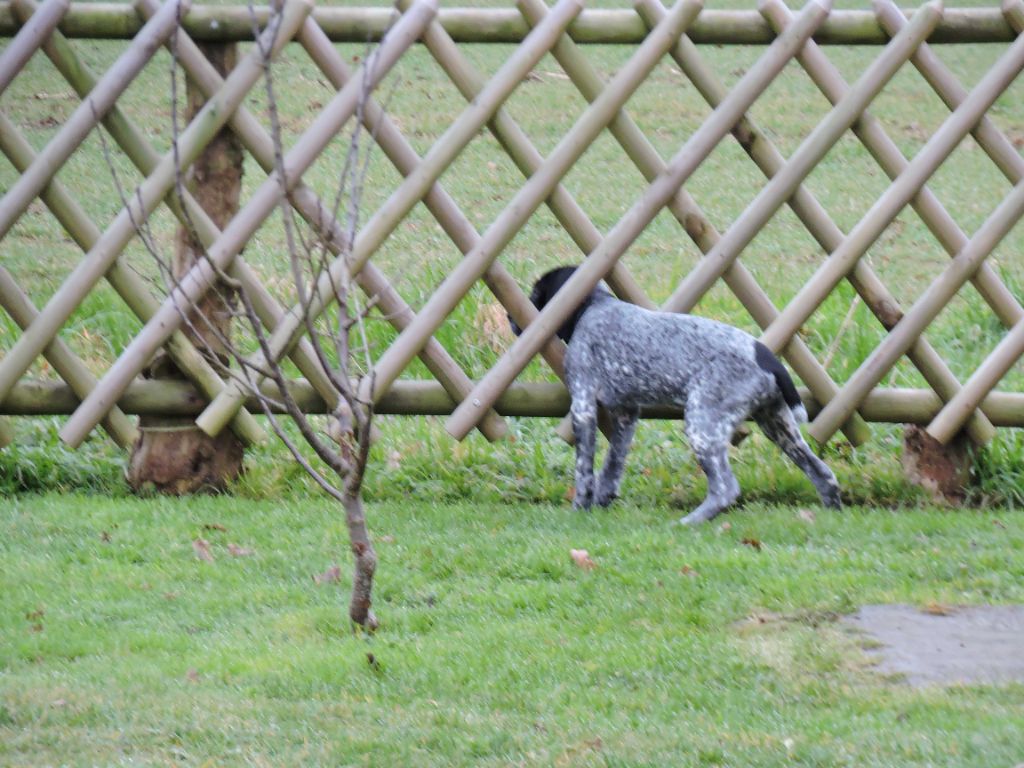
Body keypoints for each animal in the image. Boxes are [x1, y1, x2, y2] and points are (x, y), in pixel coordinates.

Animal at [512, 268, 839, 528]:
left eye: (535, 293)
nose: (509, 317)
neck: (596, 306)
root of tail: (766, 356)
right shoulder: (627, 413)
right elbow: (612, 464)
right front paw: (603, 501)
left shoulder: (583, 405)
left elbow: (584, 469)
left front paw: (580, 508)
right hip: (777, 425)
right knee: (823, 473)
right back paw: (830, 513)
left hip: (702, 425)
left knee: (725, 488)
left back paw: (689, 522)